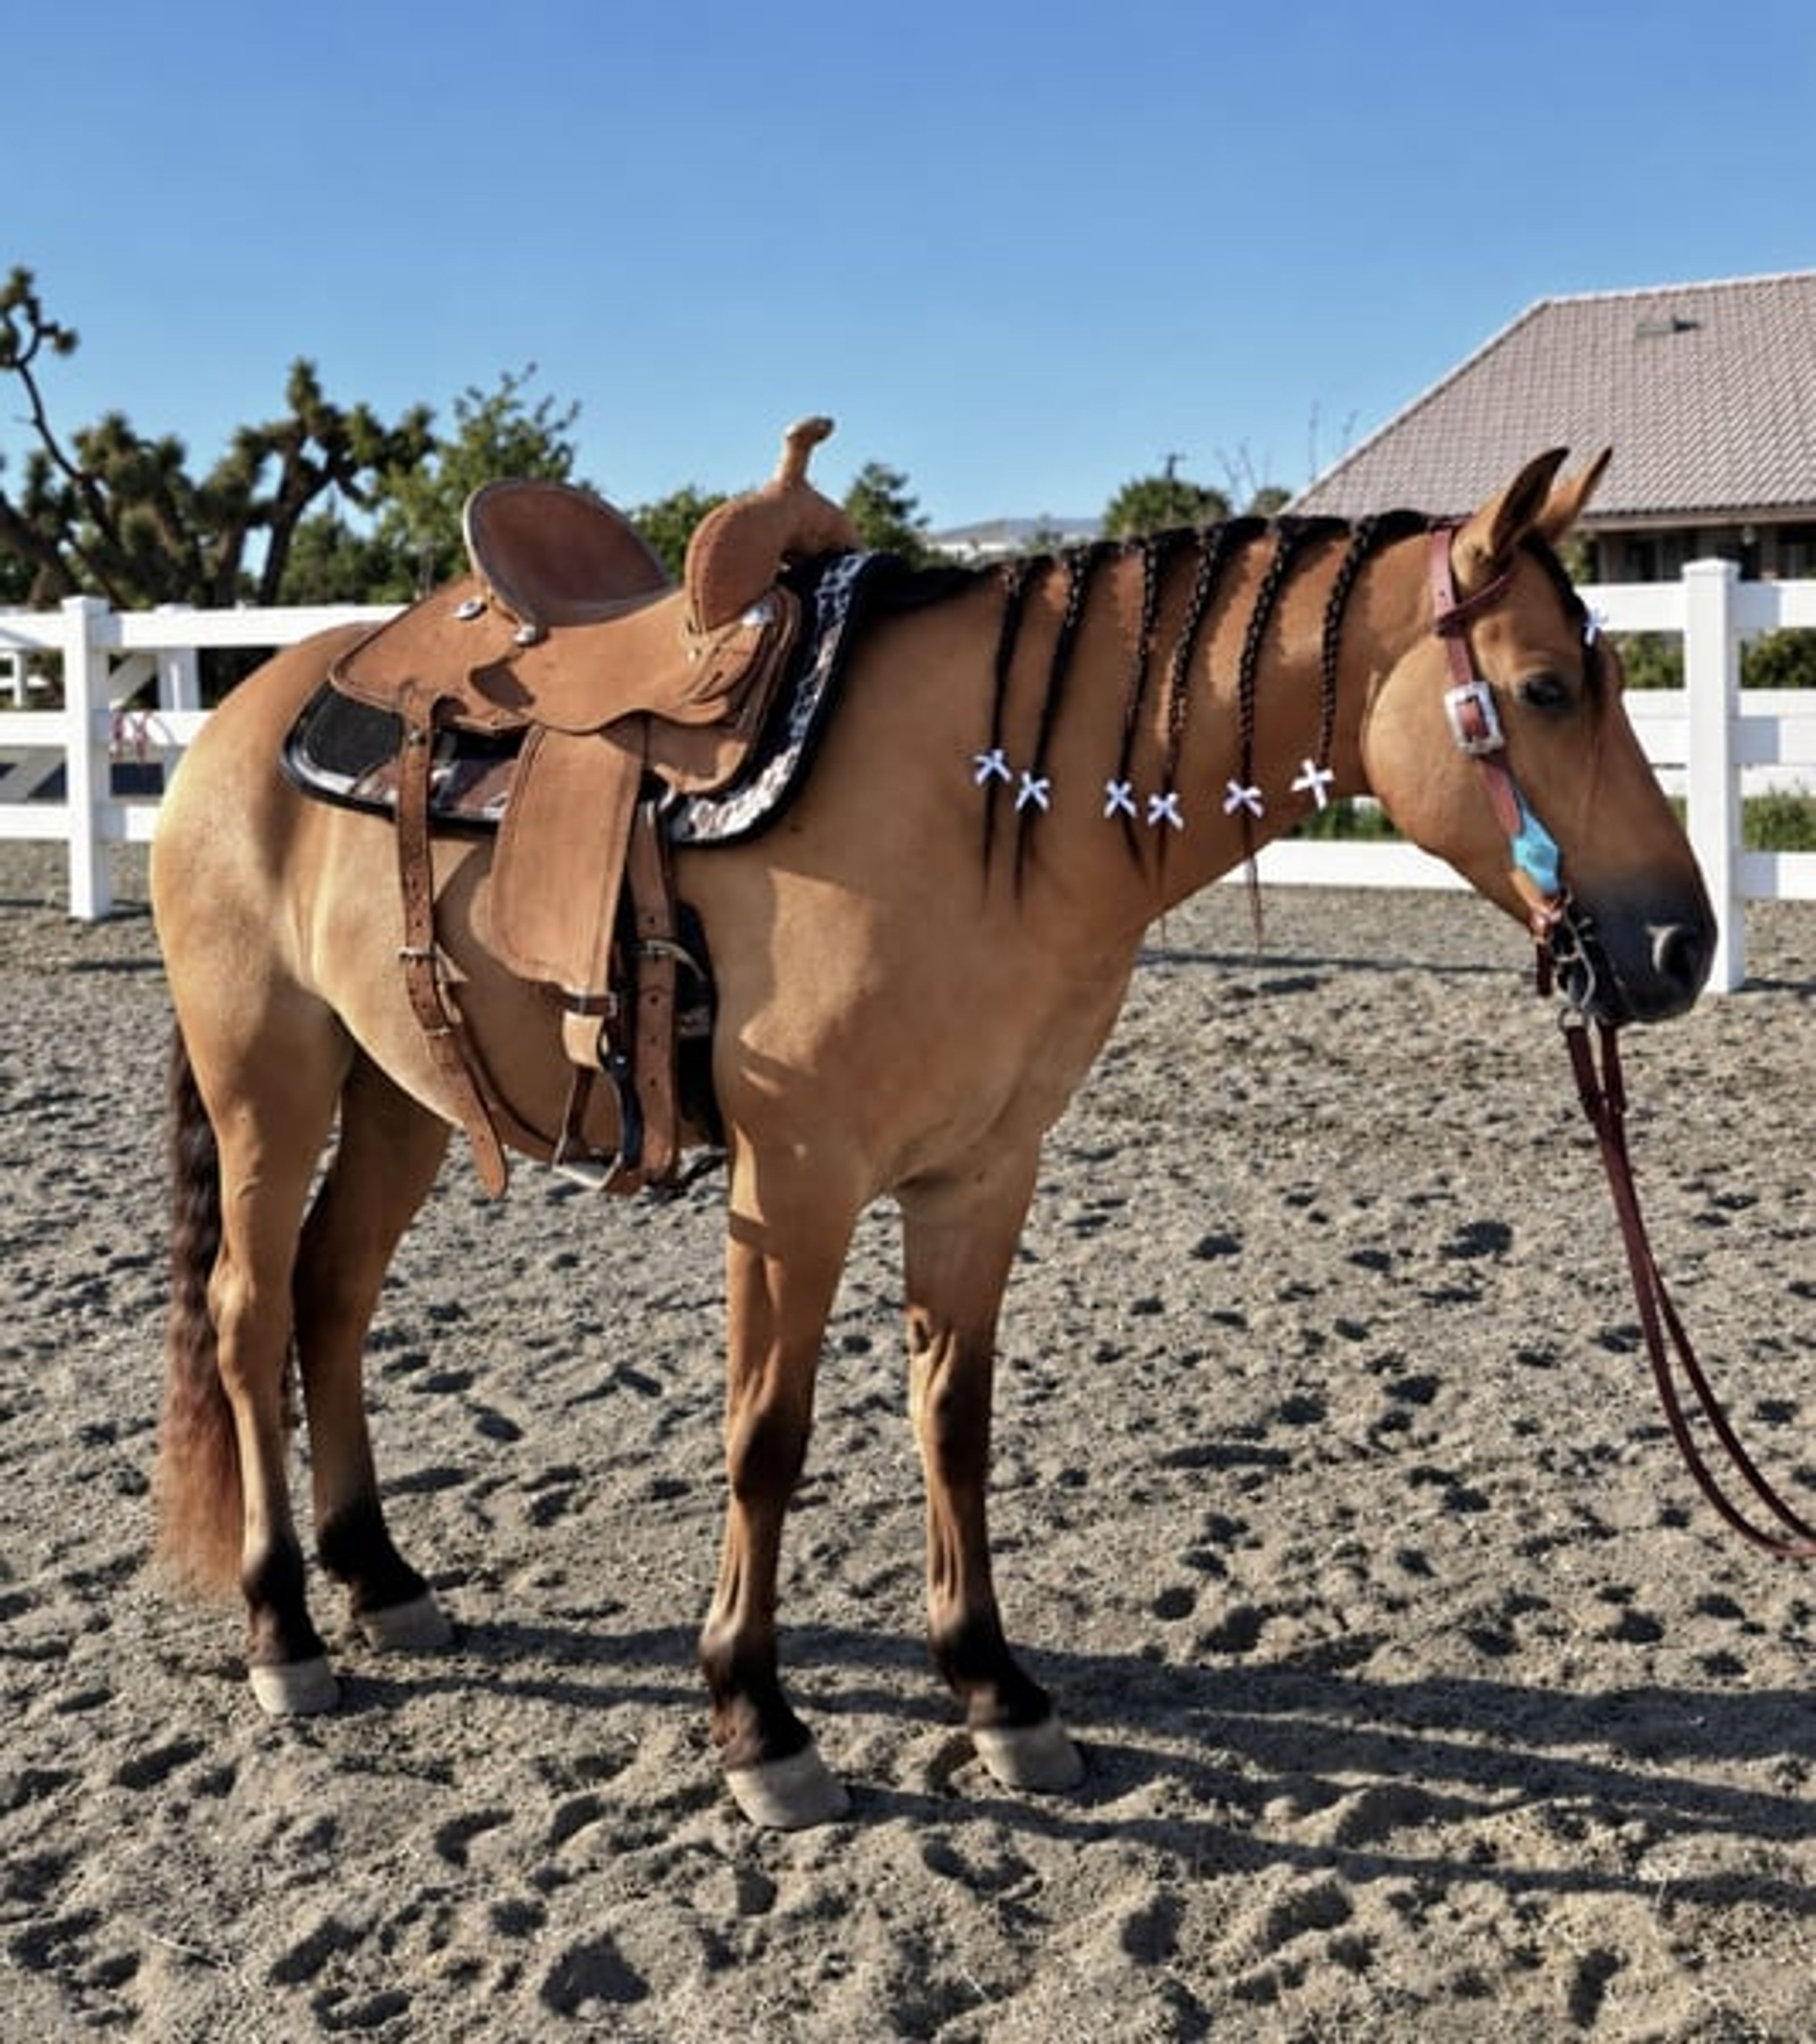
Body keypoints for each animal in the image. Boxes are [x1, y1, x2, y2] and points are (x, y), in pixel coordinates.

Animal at [149, 441, 1714, 1829]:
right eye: (1544, 686)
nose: (1680, 947)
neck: (984, 810)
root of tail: (243, 711)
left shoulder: (982, 1172)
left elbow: (952, 1420)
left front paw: (995, 1691)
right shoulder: (795, 1185)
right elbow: (764, 1437)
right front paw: (758, 1722)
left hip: (400, 1096)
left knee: (332, 1300)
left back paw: (380, 1580)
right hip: (268, 1082)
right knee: (247, 1311)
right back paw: (285, 1631)